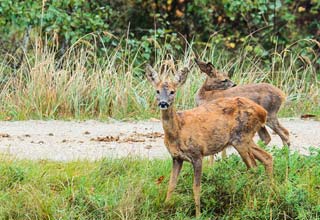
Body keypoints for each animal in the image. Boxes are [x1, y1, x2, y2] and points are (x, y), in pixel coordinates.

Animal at [145, 63, 272, 217]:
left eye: (172, 92)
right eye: (157, 91)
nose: (163, 103)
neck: (178, 130)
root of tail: (263, 112)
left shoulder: (197, 154)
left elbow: (196, 187)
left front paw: (198, 214)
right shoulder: (176, 157)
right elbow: (171, 184)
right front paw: (165, 208)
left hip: (241, 137)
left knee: (253, 166)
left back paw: (253, 202)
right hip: (245, 139)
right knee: (267, 157)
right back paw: (270, 194)